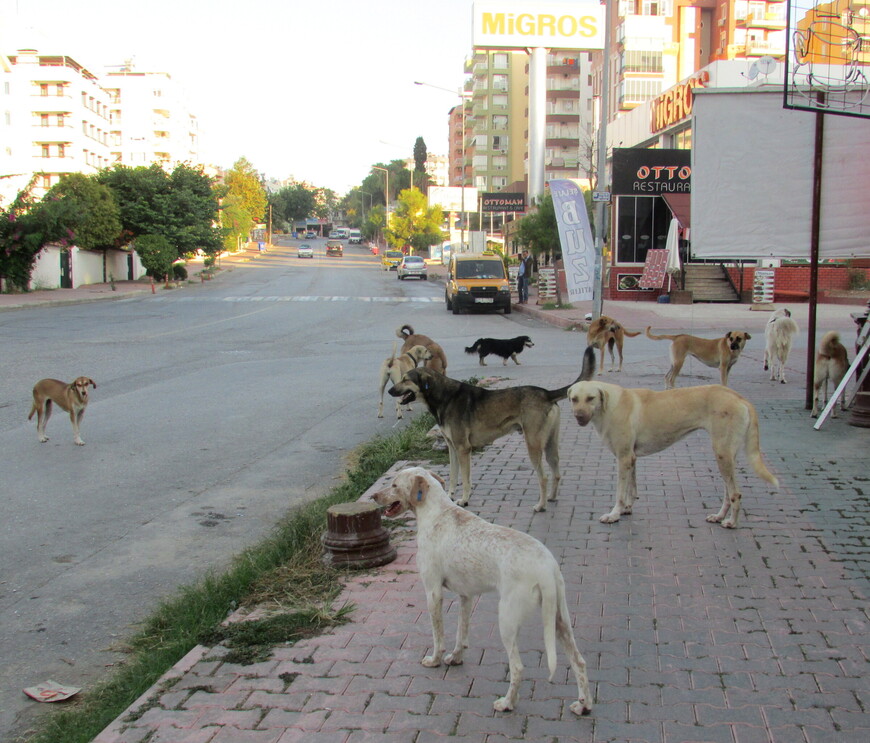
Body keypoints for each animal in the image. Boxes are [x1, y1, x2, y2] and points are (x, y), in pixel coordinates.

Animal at [372, 468, 596, 716]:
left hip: (507, 621)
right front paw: (456, 658)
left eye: (394, 485)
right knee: (579, 661)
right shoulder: (466, 596)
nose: (373, 496)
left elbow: (438, 637)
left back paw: (507, 703)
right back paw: (584, 705)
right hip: (560, 619)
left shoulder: (432, 593)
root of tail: (546, 565)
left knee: (517, 667)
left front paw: (434, 660)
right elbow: (461, 635)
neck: (436, 512)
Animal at [390, 348, 600, 512]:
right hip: (550, 445)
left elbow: (465, 479)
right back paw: (552, 497)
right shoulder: (451, 448)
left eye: (406, 379)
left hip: (533, 445)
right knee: (556, 472)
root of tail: (546, 393)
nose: (390, 391)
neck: (444, 397)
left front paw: (464, 500)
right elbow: (453, 475)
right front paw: (449, 495)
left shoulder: (463, 449)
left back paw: (541, 506)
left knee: (544, 477)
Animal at [568, 384, 780, 528]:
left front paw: (614, 514)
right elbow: (631, 489)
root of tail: (740, 397)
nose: (578, 416)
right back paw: (719, 516)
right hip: (727, 456)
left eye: (590, 398)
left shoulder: (624, 458)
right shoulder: (631, 458)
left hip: (722, 454)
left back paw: (731, 522)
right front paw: (627, 508)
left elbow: (620, 492)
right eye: (574, 399)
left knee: (735, 493)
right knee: (729, 493)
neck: (611, 403)